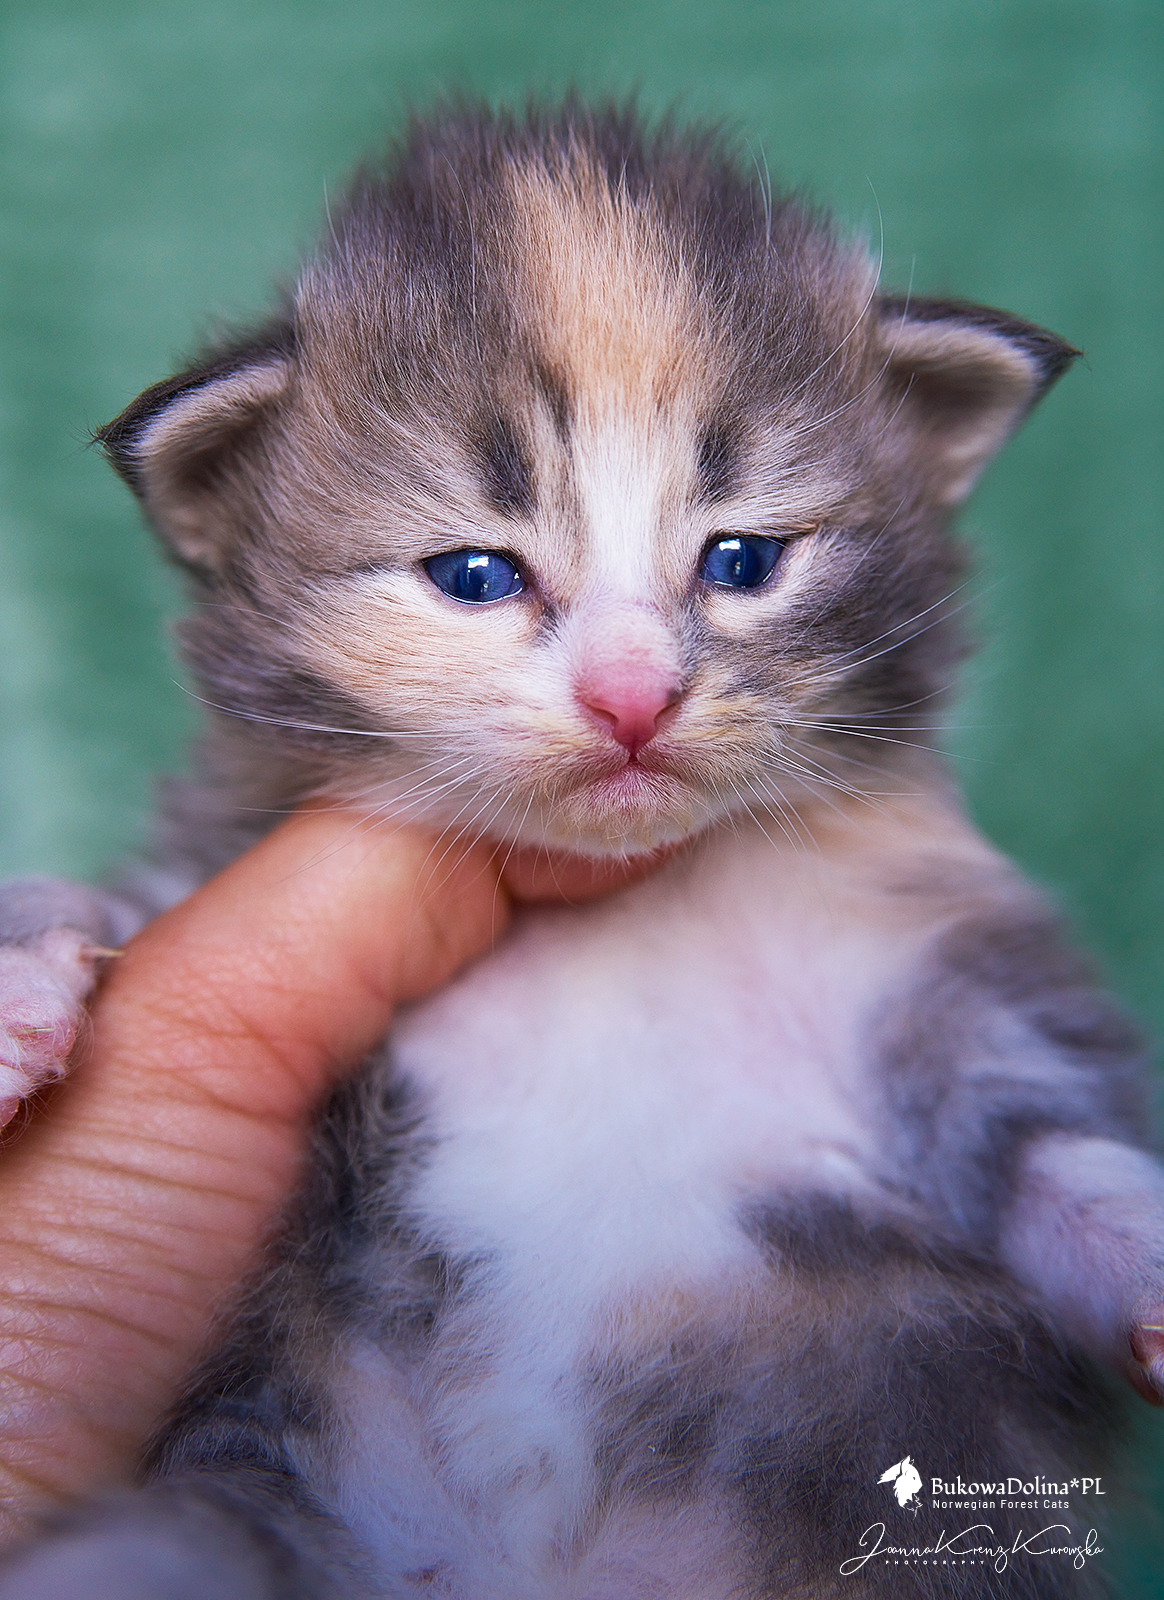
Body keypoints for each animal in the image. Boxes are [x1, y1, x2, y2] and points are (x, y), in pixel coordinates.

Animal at [1, 101, 1162, 1599]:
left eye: (742, 560)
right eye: (476, 576)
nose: (631, 698)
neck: (617, 920)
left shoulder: (917, 972)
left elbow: (1054, 1147)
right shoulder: (225, 860)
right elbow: (104, 903)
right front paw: (22, 982)